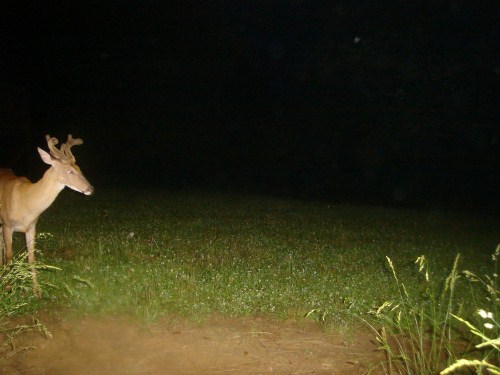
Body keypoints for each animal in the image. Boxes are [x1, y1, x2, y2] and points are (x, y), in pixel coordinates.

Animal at [0, 135, 93, 296]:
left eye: (79, 169)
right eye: (69, 171)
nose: (90, 189)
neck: (26, 202)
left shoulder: (31, 227)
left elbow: (31, 258)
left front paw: (37, 291)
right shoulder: (7, 224)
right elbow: (9, 255)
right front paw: (7, 287)